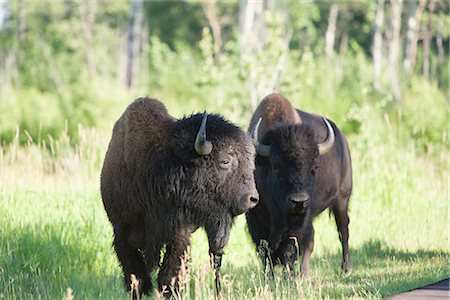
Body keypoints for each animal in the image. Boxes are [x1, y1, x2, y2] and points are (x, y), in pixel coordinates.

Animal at [100, 98, 258, 298]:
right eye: (225, 161)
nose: (252, 198)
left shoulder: (178, 233)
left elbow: (170, 273)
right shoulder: (122, 232)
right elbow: (135, 276)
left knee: (215, 258)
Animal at [244, 93, 354, 276]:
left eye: (315, 166)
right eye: (276, 166)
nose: (299, 201)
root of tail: (342, 140)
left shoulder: (297, 222)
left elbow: (289, 249)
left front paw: (288, 276)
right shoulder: (254, 218)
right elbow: (264, 250)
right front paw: (269, 278)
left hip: (341, 199)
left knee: (342, 231)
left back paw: (344, 268)